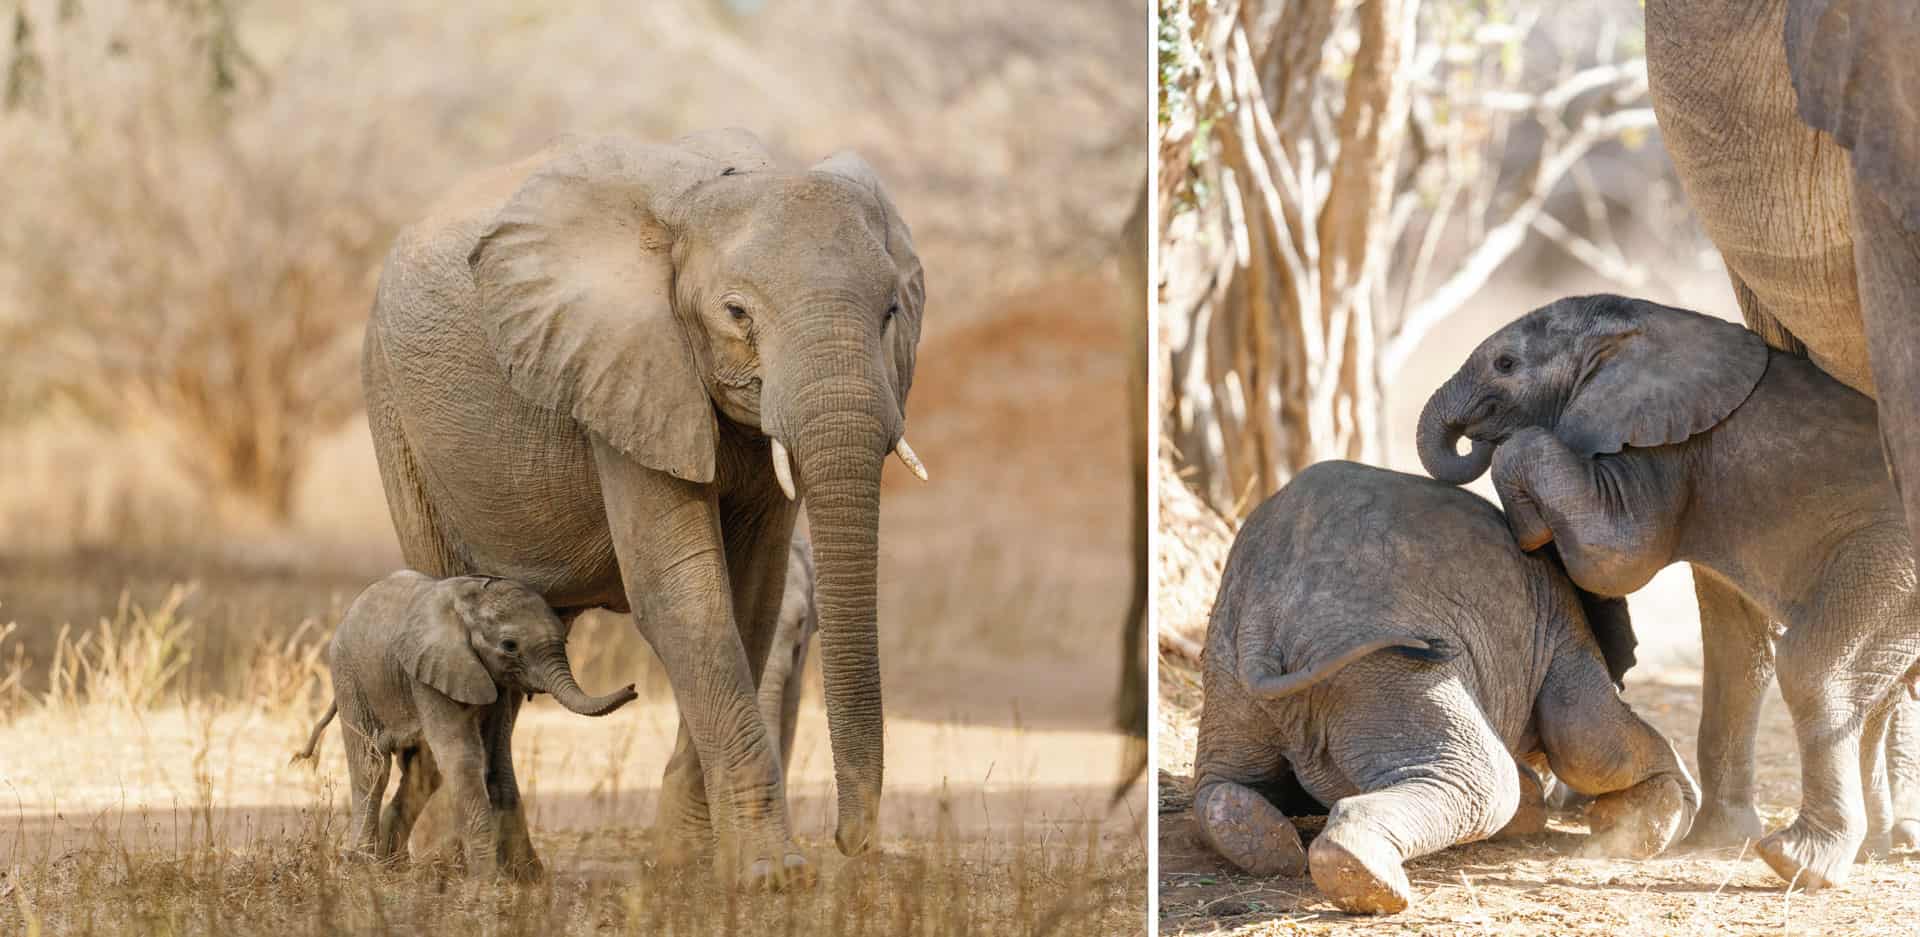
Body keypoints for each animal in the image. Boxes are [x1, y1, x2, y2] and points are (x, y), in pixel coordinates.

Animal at [293, 571, 638, 876]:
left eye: (565, 640)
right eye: (510, 646)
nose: (633, 688)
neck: (471, 602)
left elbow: (493, 756)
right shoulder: (431, 671)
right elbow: (463, 759)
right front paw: (487, 880)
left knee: (424, 770)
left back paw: (392, 864)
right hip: (349, 676)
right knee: (372, 766)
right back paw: (362, 864)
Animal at [362, 128, 927, 888]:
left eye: (891, 312)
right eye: (738, 313)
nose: (851, 843)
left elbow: (750, 598)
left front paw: (692, 866)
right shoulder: (624, 371)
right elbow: (684, 596)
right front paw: (771, 875)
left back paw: (518, 870)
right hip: (394, 413)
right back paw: (485, 870)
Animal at [1191, 459, 1696, 915]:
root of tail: (1261, 628)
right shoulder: (1560, 624)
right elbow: (1585, 747)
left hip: (1229, 670)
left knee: (1222, 781)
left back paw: (1255, 834)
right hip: (1381, 669)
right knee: (1491, 782)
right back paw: (1366, 881)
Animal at [1417, 293, 1920, 889]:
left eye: (1506, 365)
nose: (1472, 436)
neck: (1639, 323)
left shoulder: (1666, 447)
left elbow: (1617, 554)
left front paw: (1532, 528)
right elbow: (1736, 648)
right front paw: (1714, 840)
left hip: (1892, 555)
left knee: (1816, 669)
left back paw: (1797, 861)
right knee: (1877, 690)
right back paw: (1872, 850)